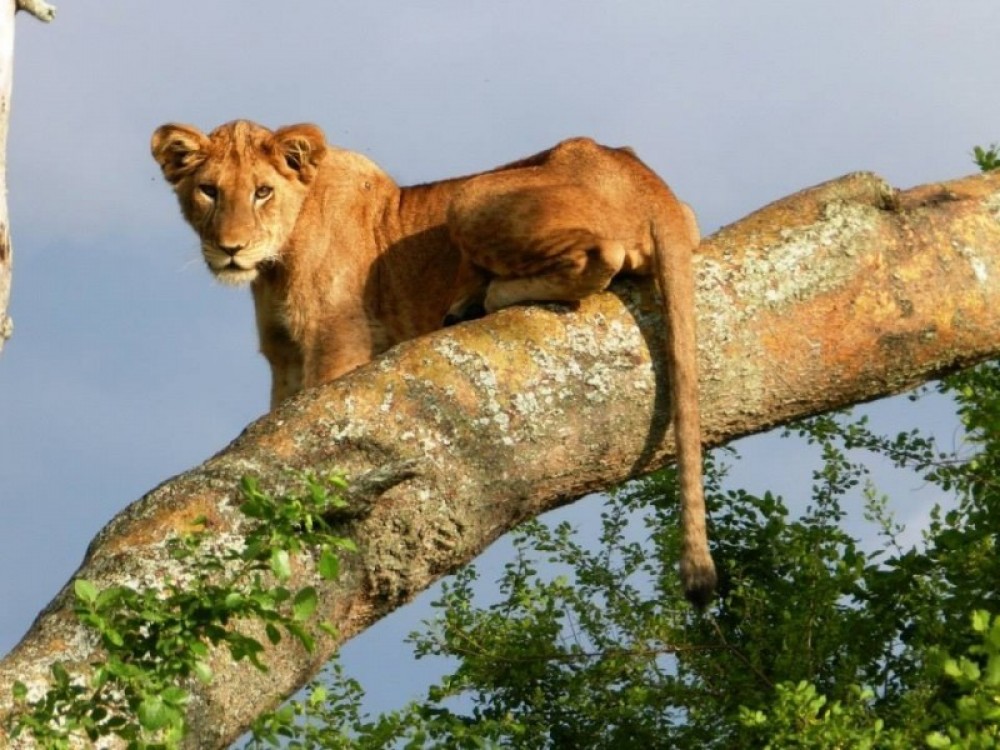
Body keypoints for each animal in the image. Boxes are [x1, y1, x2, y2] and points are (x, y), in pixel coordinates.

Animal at [151, 120, 715, 605]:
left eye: (262, 192)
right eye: (209, 191)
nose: (230, 249)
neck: (273, 264)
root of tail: (647, 184)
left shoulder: (338, 342)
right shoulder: (283, 357)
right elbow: (276, 430)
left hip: (472, 196)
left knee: (602, 255)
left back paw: (478, 299)